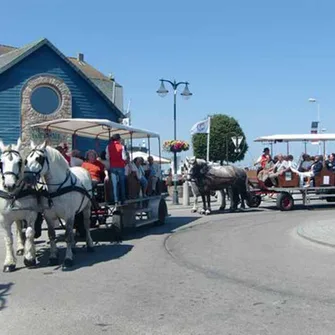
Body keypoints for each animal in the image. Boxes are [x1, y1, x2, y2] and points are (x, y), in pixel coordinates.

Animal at [0, 139, 40, 272]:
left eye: (20, 162)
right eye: (1, 162)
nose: (9, 185)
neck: (14, 195)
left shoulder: (32, 214)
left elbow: (29, 233)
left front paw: (29, 258)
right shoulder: (4, 219)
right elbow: (8, 238)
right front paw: (9, 262)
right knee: (18, 227)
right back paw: (20, 247)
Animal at [24, 140, 94, 270]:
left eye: (39, 158)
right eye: (26, 160)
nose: (27, 178)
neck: (56, 189)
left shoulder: (69, 214)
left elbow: (67, 236)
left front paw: (68, 259)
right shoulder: (49, 216)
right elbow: (52, 235)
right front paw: (53, 257)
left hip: (87, 208)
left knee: (86, 225)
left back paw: (90, 244)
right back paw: (73, 247)